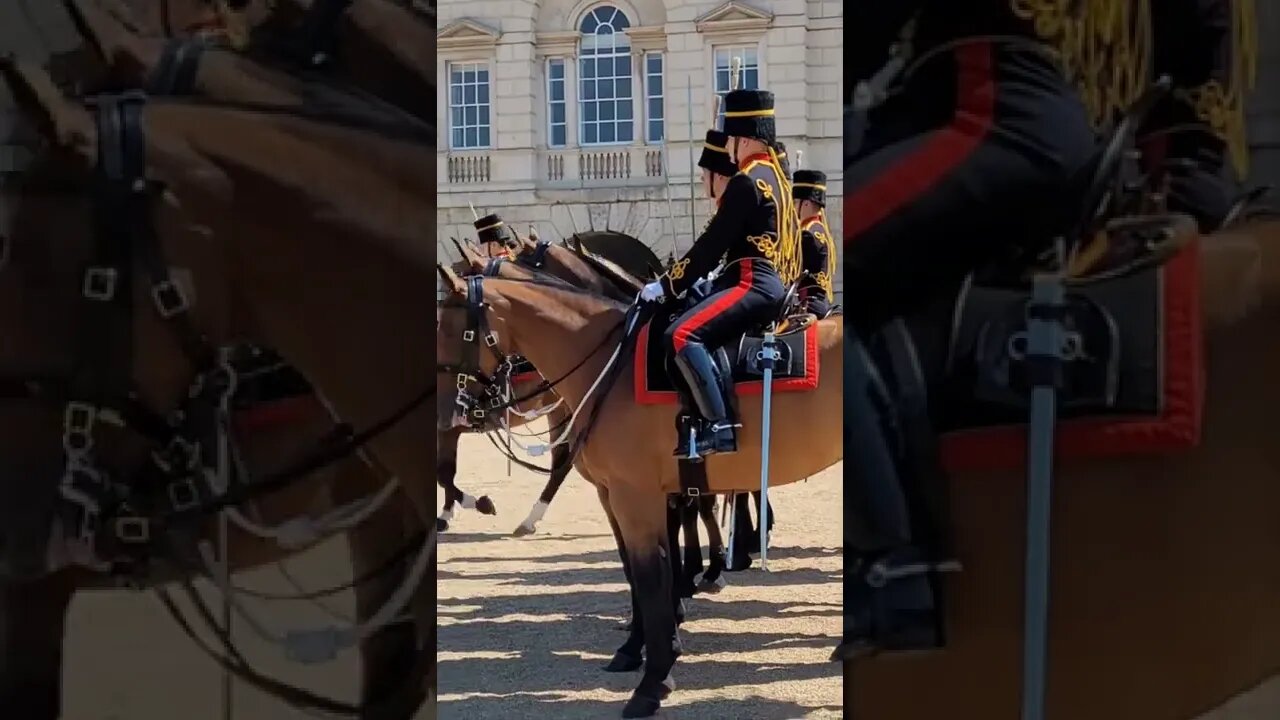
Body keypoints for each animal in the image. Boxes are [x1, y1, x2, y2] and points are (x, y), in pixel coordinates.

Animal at [435, 265, 844, 717]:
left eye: (452, 330)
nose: (446, 413)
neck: (608, 367)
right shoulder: (618, 495)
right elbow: (641, 572)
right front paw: (640, 649)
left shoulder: (637, 497)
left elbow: (649, 579)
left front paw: (653, 681)